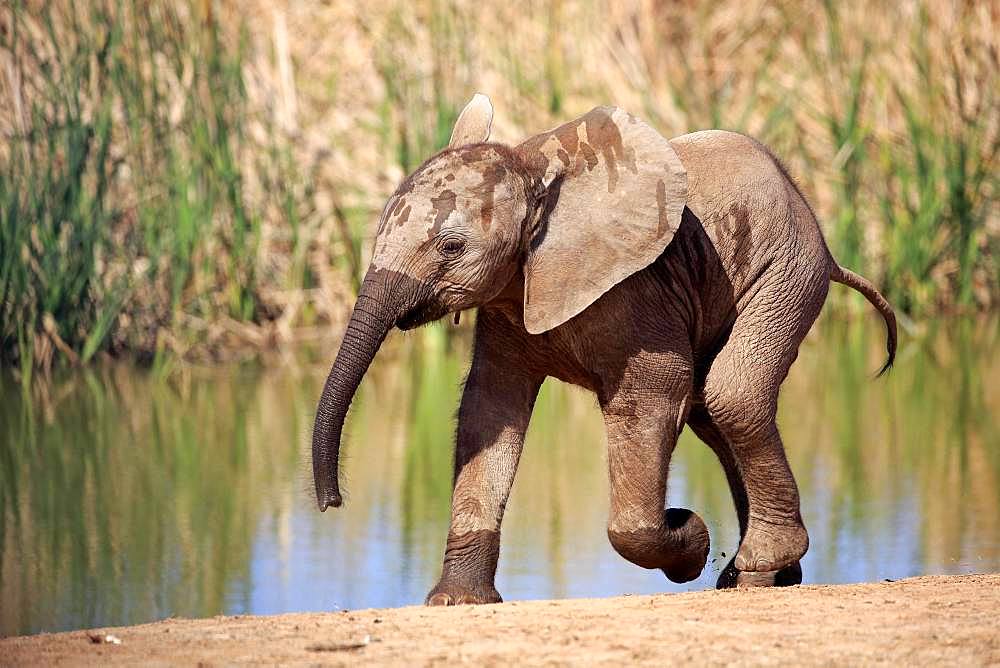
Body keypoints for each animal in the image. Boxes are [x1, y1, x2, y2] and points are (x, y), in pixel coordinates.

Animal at [308, 95, 896, 604]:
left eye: (452, 247)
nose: (332, 503)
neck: (533, 173)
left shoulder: (634, 290)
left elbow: (651, 395)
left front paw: (689, 537)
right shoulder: (509, 302)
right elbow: (489, 409)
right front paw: (457, 602)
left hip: (787, 270)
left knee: (732, 394)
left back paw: (755, 568)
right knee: (711, 416)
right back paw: (760, 576)